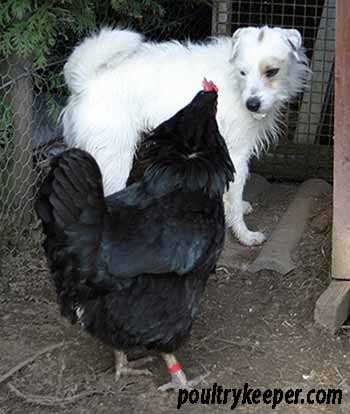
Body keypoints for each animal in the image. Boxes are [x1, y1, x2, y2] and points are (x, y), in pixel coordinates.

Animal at [61, 25, 308, 246]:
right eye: (243, 72)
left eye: (271, 71)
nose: (252, 104)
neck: (235, 83)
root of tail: (86, 81)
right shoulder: (237, 154)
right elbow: (234, 197)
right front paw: (245, 235)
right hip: (114, 158)